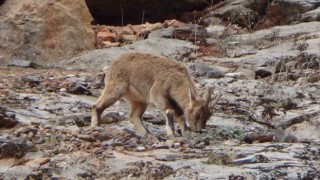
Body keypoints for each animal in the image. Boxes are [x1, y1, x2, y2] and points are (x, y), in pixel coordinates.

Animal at [91, 52, 219, 139]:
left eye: (208, 116)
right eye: (197, 113)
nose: (199, 130)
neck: (176, 79)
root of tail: (115, 61)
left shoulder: (174, 101)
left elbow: (180, 115)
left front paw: (186, 132)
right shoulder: (157, 93)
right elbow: (169, 111)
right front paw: (172, 133)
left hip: (139, 100)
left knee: (133, 116)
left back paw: (148, 134)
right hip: (115, 88)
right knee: (97, 106)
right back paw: (95, 126)